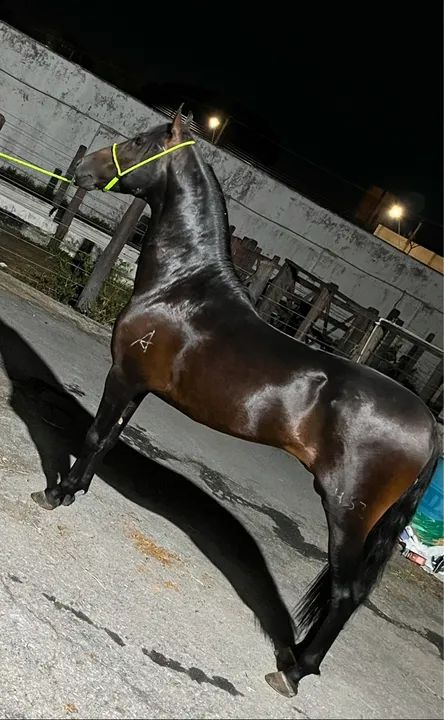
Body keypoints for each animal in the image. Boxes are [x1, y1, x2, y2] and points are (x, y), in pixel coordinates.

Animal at [31, 107, 440, 698]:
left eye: (138, 142)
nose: (83, 169)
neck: (180, 286)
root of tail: (429, 424)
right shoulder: (138, 387)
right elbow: (106, 440)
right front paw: (77, 489)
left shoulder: (123, 376)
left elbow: (93, 434)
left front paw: (56, 492)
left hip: (348, 512)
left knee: (346, 595)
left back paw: (293, 668)